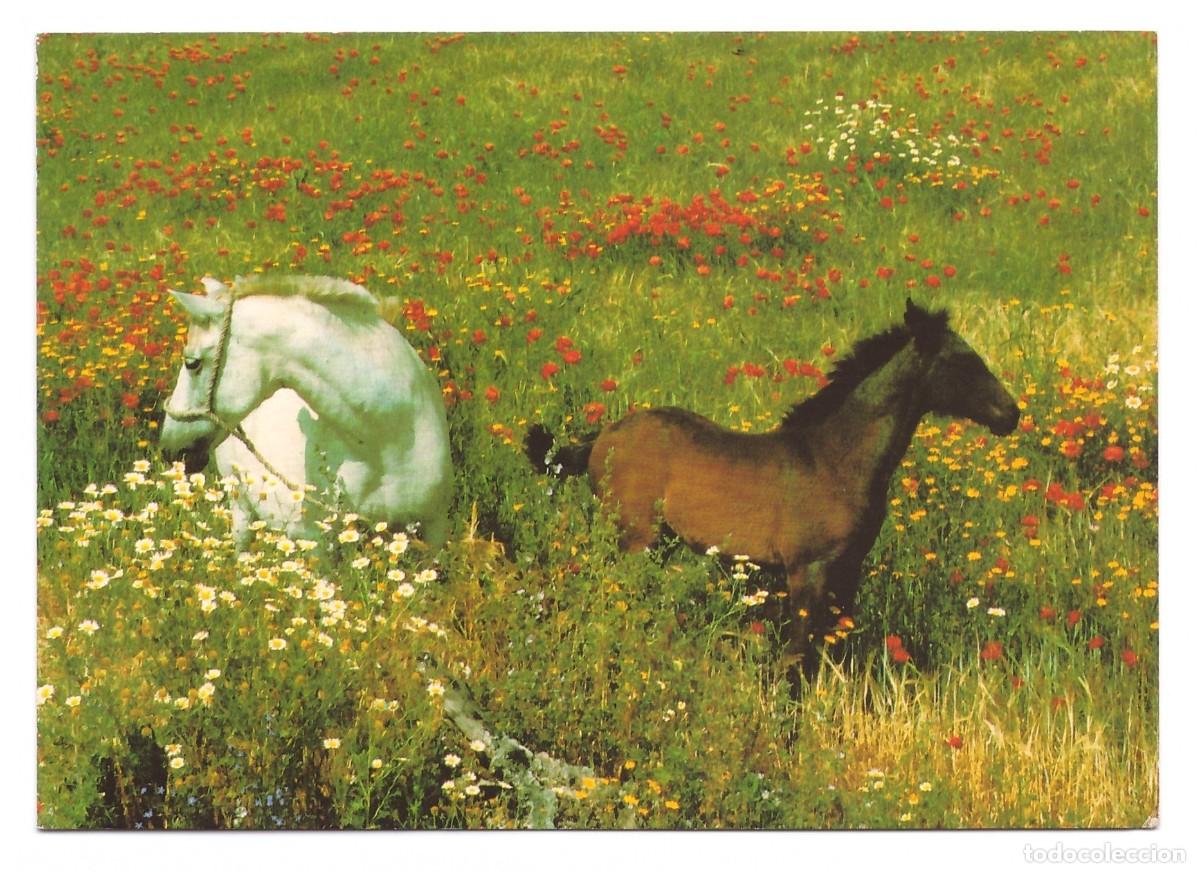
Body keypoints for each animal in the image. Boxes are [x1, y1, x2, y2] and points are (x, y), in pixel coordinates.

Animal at [160, 275, 453, 549]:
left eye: (192, 363)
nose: (169, 450)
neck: (387, 438)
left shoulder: (434, 530)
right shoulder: (313, 542)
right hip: (239, 500)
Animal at [525, 299, 1019, 665]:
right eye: (964, 361)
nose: (1011, 414)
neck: (836, 461)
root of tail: (601, 438)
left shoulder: (847, 572)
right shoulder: (808, 571)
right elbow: (796, 659)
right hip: (635, 537)